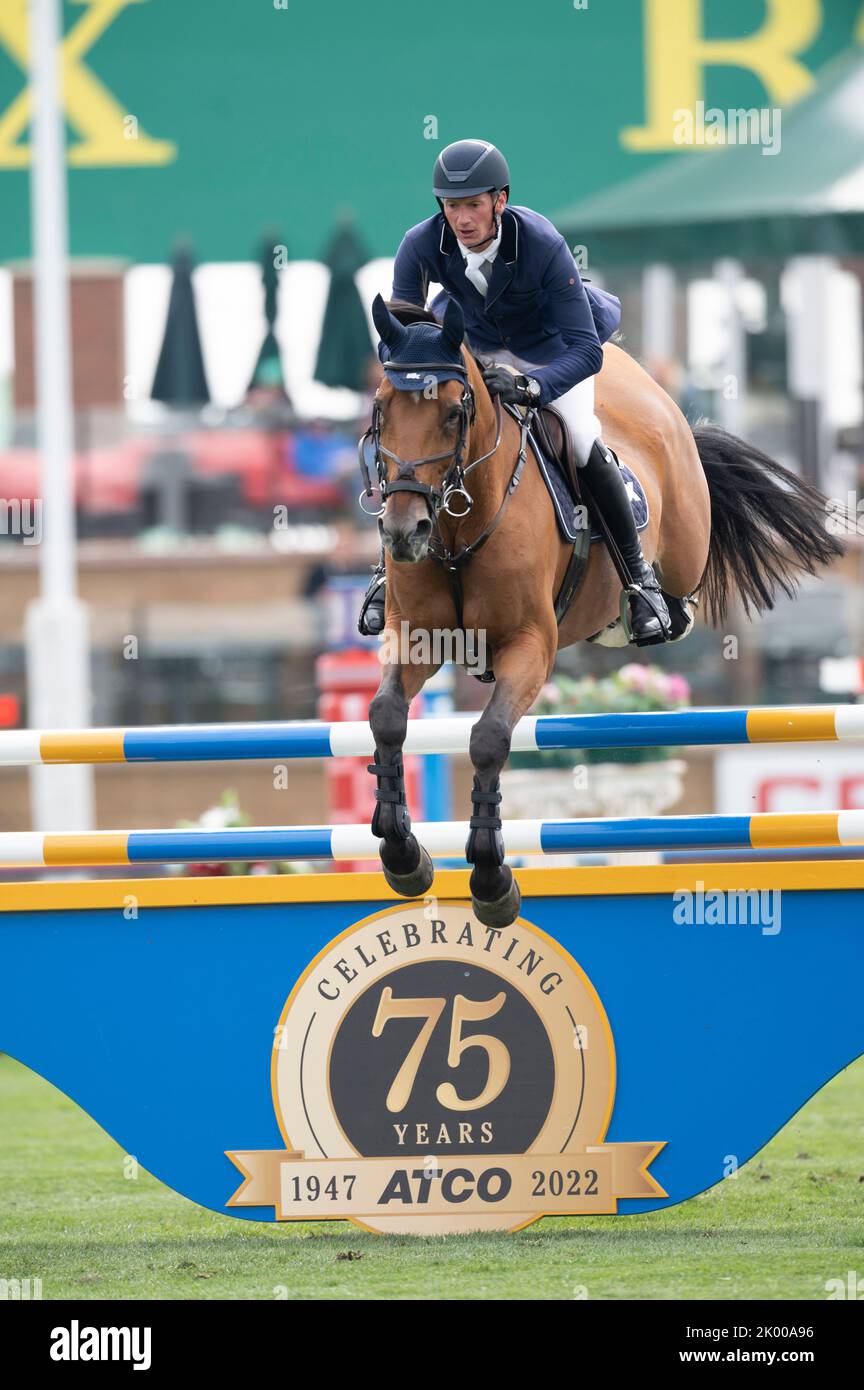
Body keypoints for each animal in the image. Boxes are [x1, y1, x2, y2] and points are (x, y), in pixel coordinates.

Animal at [361, 294, 844, 928]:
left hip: (682, 544)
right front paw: (402, 854)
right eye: (381, 409)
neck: (463, 521)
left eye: (451, 413)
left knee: (667, 578)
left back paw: (645, 606)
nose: (404, 532)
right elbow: (387, 716)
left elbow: (488, 739)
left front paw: (491, 880)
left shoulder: (529, 646)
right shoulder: (415, 635)